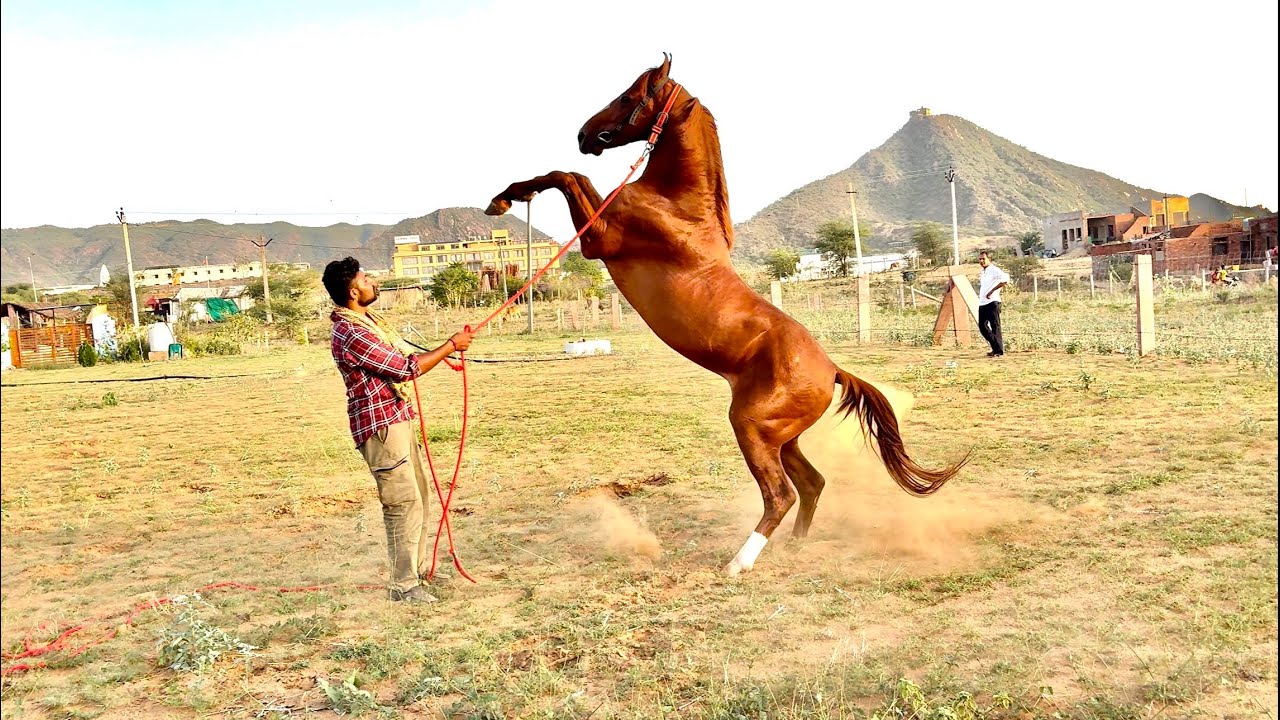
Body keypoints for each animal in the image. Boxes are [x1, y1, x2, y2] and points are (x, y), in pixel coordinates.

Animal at [486, 54, 968, 576]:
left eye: (629, 96)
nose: (584, 134)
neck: (676, 206)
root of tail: (834, 371)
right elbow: (570, 174)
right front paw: (508, 195)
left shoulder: (599, 238)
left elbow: (568, 175)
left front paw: (507, 197)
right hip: (782, 438)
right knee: (812, 484)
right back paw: (794, 546)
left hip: (753, 429)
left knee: (780, 495)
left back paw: (740, 561)